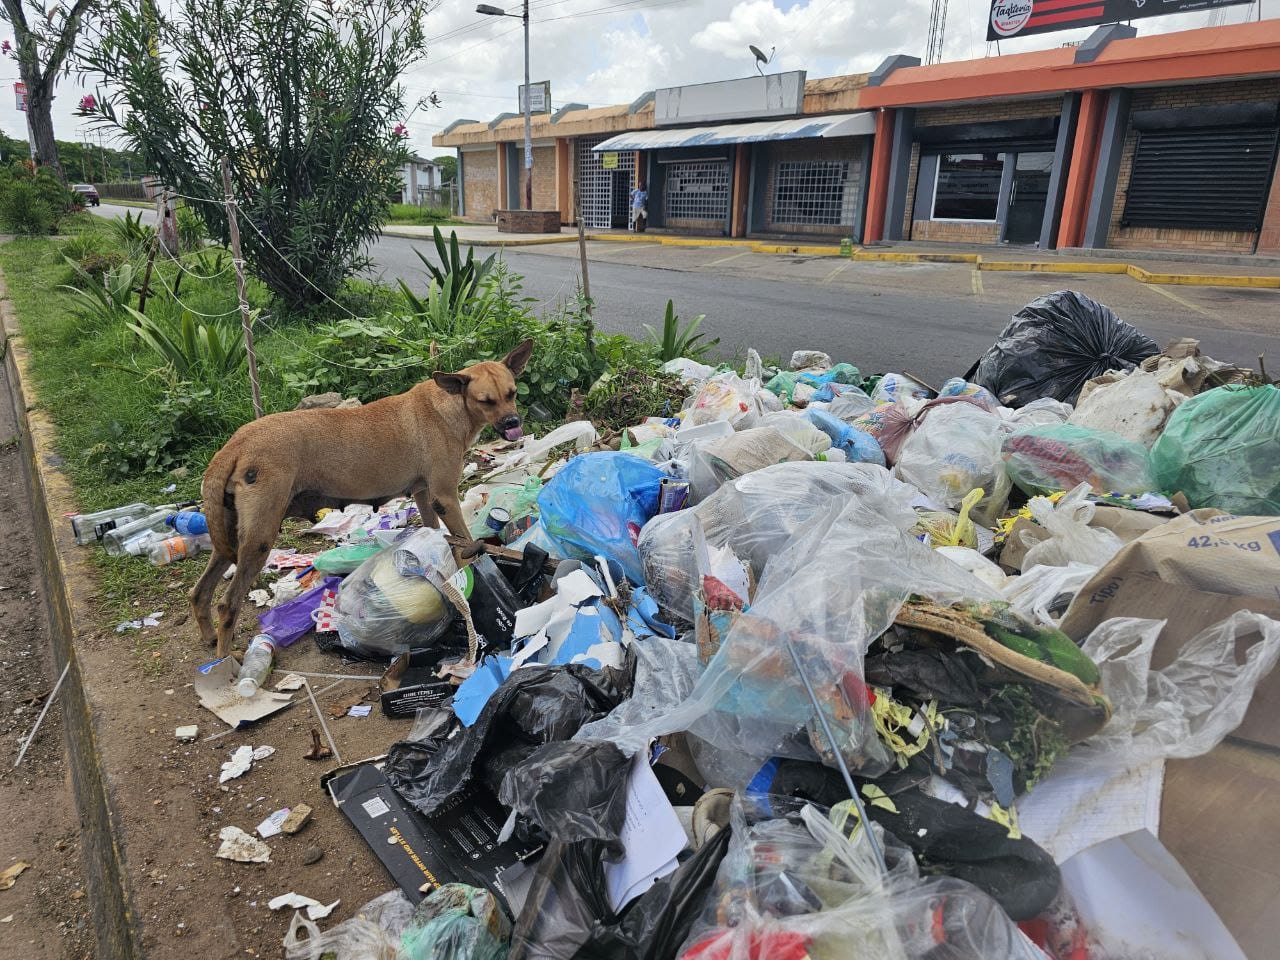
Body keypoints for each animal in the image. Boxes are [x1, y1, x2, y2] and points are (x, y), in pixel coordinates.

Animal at [186, 337, 532, 660]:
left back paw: (209, 637)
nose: (513, 424)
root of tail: (236, 442)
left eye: (512, 393)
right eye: (485, 400)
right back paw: (225, 661)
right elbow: (466, 542)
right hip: (258, 539)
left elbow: (435, 533)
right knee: (227, 604)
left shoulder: (424, 496)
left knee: (200, 592)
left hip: (230, 537)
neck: (452, 404)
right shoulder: (445, 497)